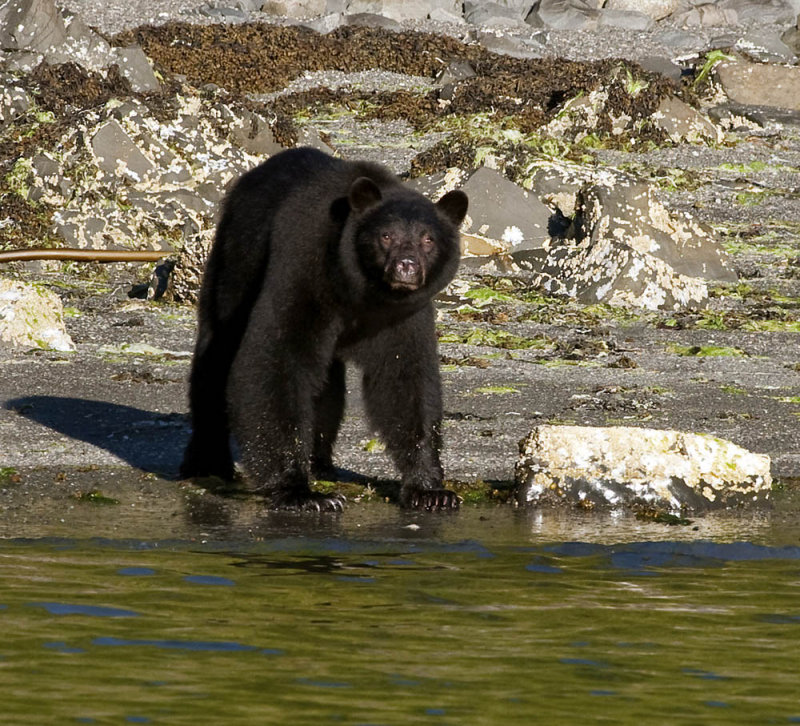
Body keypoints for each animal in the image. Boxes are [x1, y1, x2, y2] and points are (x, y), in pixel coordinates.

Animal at [181, 146, 468, 512]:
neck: (362, 292)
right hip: (235, 264)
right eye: (386, 235)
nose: (406, 267)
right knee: (215, 357)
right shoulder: (306, 270)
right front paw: (299, 492)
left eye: (427, 239)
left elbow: (404, 378)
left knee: (326, 388)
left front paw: (430, 490)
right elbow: (276, 356)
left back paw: (320, 463)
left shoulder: (403, 313)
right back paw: (207, 462)